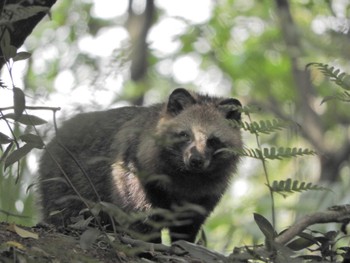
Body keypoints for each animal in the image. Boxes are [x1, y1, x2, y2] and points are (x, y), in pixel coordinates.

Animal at [37, 88, 241, 243]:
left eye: (213, 141)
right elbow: (141, 217)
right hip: (61, 181)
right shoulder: (133, 172)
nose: (196, 160)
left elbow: (187, 225)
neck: (187, 175)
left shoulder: (207, 192)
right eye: (185, 135)